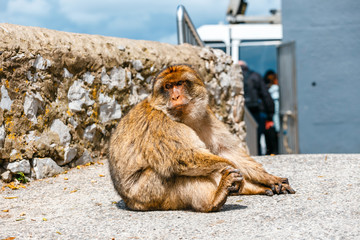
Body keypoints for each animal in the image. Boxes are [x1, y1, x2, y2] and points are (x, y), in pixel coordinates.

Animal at [107, 63, 296, 212]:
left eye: (180, 84)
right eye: (168, 86)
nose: (175, 96)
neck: (181, 117)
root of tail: (129, 202)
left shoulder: (206, 115)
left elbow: (227, 151)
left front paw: (268, 178)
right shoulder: (159, 124)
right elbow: (183, 157)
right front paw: (238, 176)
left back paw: (254, 188)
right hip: (146, 194)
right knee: (174, 172)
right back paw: (214, 200)